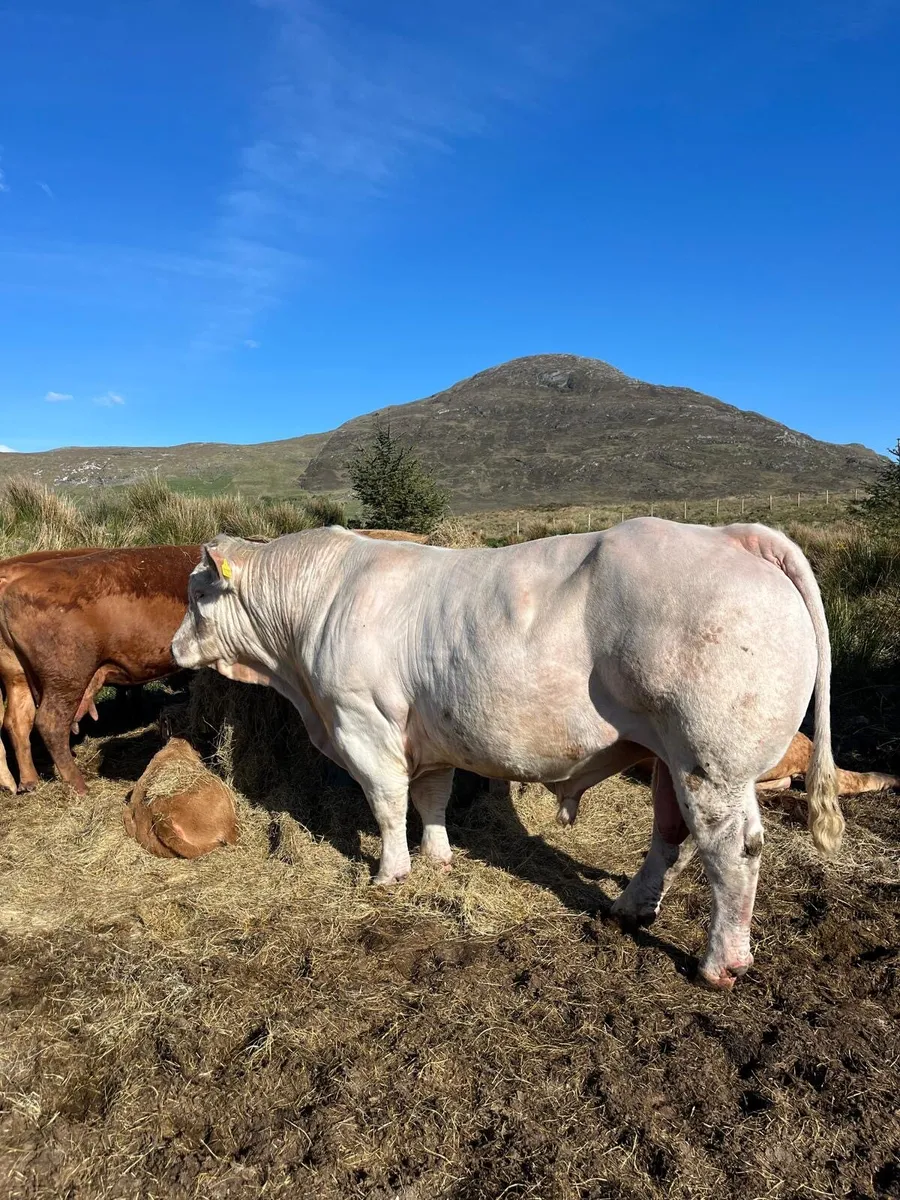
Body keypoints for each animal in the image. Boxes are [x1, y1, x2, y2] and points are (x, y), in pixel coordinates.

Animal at [0, 545, 201, 794]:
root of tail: (18, 573)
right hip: (67, 673)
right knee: (49, 723)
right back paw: (79, 787)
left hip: (17, 673)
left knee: (17, 721)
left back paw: (29, 782)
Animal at [171, 519, 843, 990]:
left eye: (198, 595)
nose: (174, 649)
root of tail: (730, 534)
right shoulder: (430, 734)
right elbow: (431, 798)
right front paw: (439, 858)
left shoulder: (361, 722)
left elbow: (387, 804)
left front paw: (390, 873)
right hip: (668, 756)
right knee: (670, 834)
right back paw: (628, 909)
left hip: (712, 759)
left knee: (732, 849)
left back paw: (719, 963)